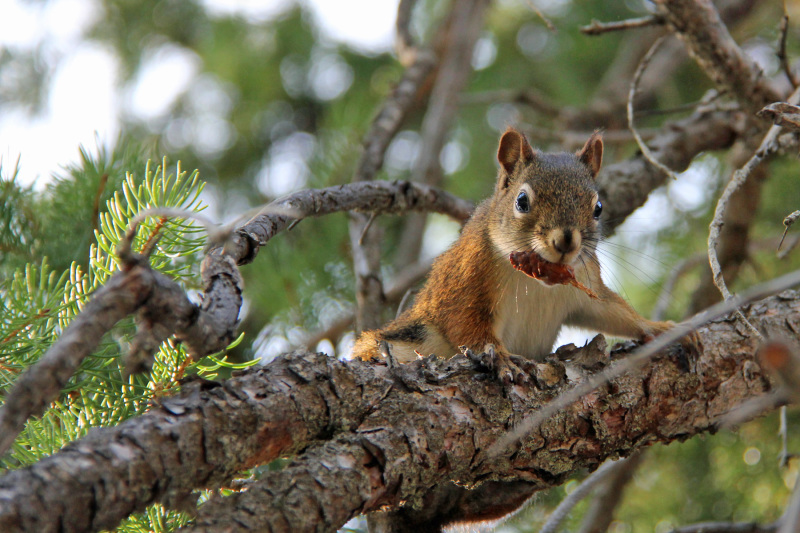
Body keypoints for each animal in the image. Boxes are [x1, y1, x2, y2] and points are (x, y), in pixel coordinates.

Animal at [354, 127, 680, 380]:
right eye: (522, 201)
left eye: (598, 208)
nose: (566, 241)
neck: (536, 283)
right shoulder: (464, 282)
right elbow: (465, 324)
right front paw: (500, 356)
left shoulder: (585, 288)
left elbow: (612, 311)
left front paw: (659, 328)